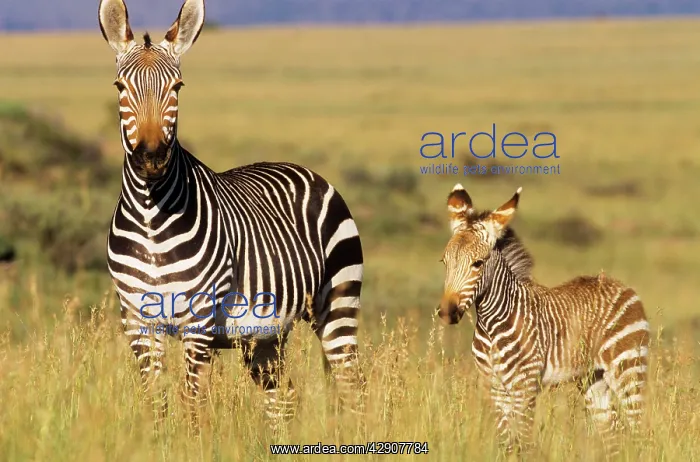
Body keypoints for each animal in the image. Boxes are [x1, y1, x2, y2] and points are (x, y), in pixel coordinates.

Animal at [98, 0, 366, 428]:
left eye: (177, 88)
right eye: (120, 88)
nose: (151, 158)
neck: (151, 216)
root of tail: (306, 170)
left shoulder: (199, 319)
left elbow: (191, 403)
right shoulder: (138, 321)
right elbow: (156, 403)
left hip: (338, 304)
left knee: (353, 386)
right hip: (268, 333)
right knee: (283, 399)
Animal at [437, 184, 649, 459]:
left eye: (478, 264)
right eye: (444, 262)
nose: (447, 312)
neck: (492, 325)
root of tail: (620, 285)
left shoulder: (524, 388)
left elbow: (523, 443)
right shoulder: (495, 389)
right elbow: (507, 443)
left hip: (629, 368)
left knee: (637, 430)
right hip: (594, 378)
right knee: (613, 433)